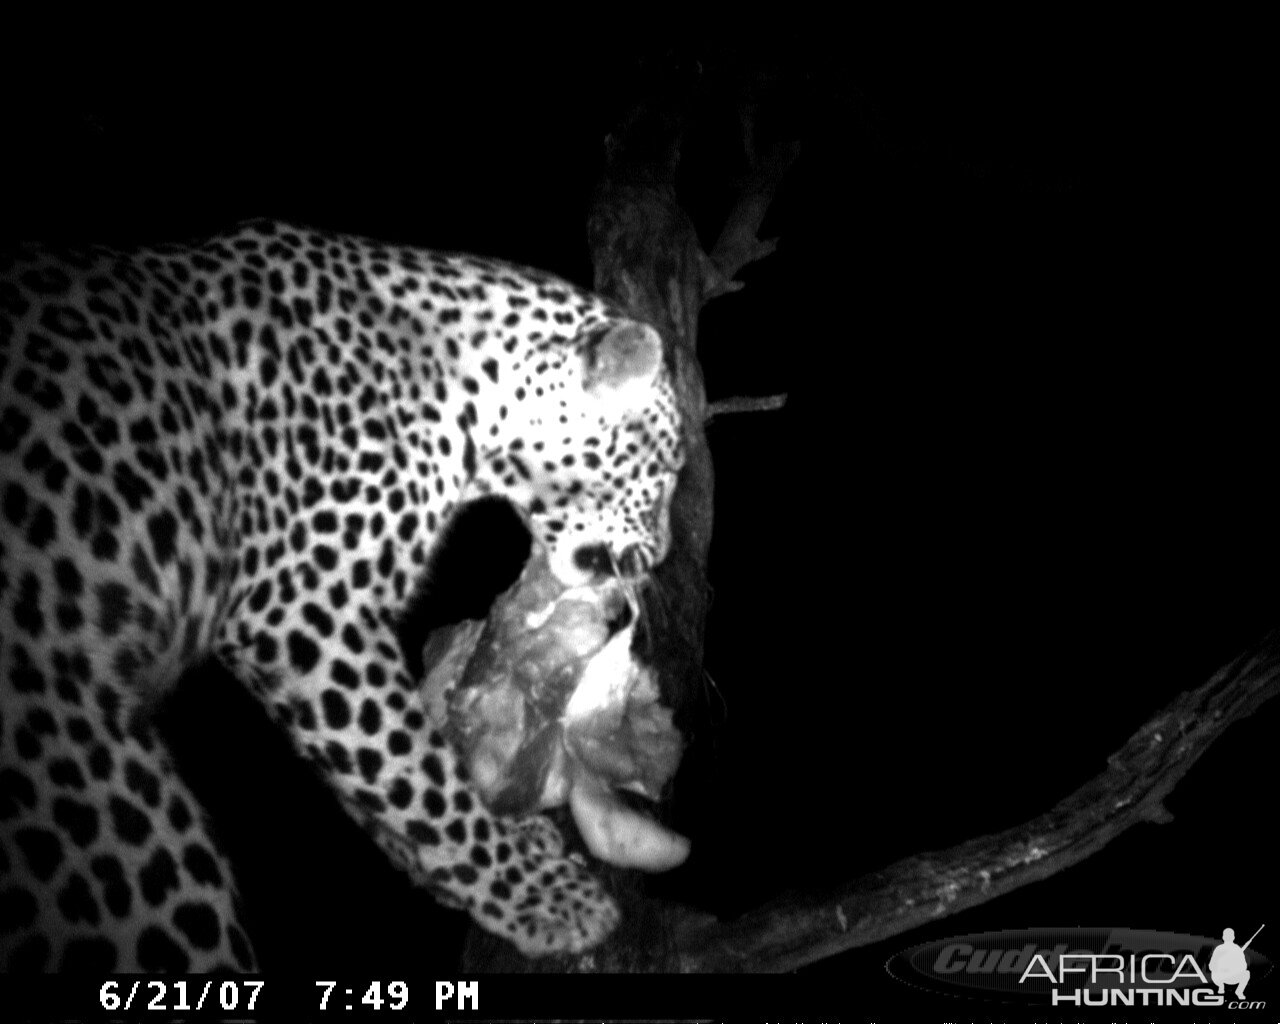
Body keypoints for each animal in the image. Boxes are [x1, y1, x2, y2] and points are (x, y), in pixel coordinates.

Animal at [0, 220, 686, 972]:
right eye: (667, 470)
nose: (664, 553)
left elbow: (390, 787)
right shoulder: (311, 613)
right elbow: (415, 776)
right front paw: (542, 895)